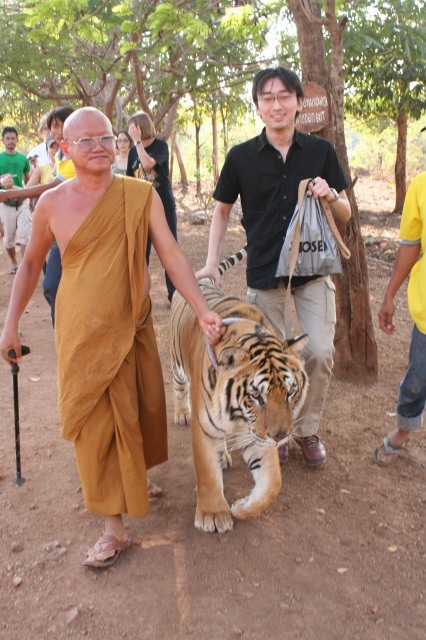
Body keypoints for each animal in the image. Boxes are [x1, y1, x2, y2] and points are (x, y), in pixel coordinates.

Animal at [171, 248, 310, 532]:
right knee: (178, 387)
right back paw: (181, 413)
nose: (281, 436)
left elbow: (272, 484)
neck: (238, 414)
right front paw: (213, 515)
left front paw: (242, 507)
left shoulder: (257, 435)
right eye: (257, 395)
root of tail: (202, 280)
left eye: (290, 393)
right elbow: (207, 473)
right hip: (177, 364)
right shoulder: (204, 428)